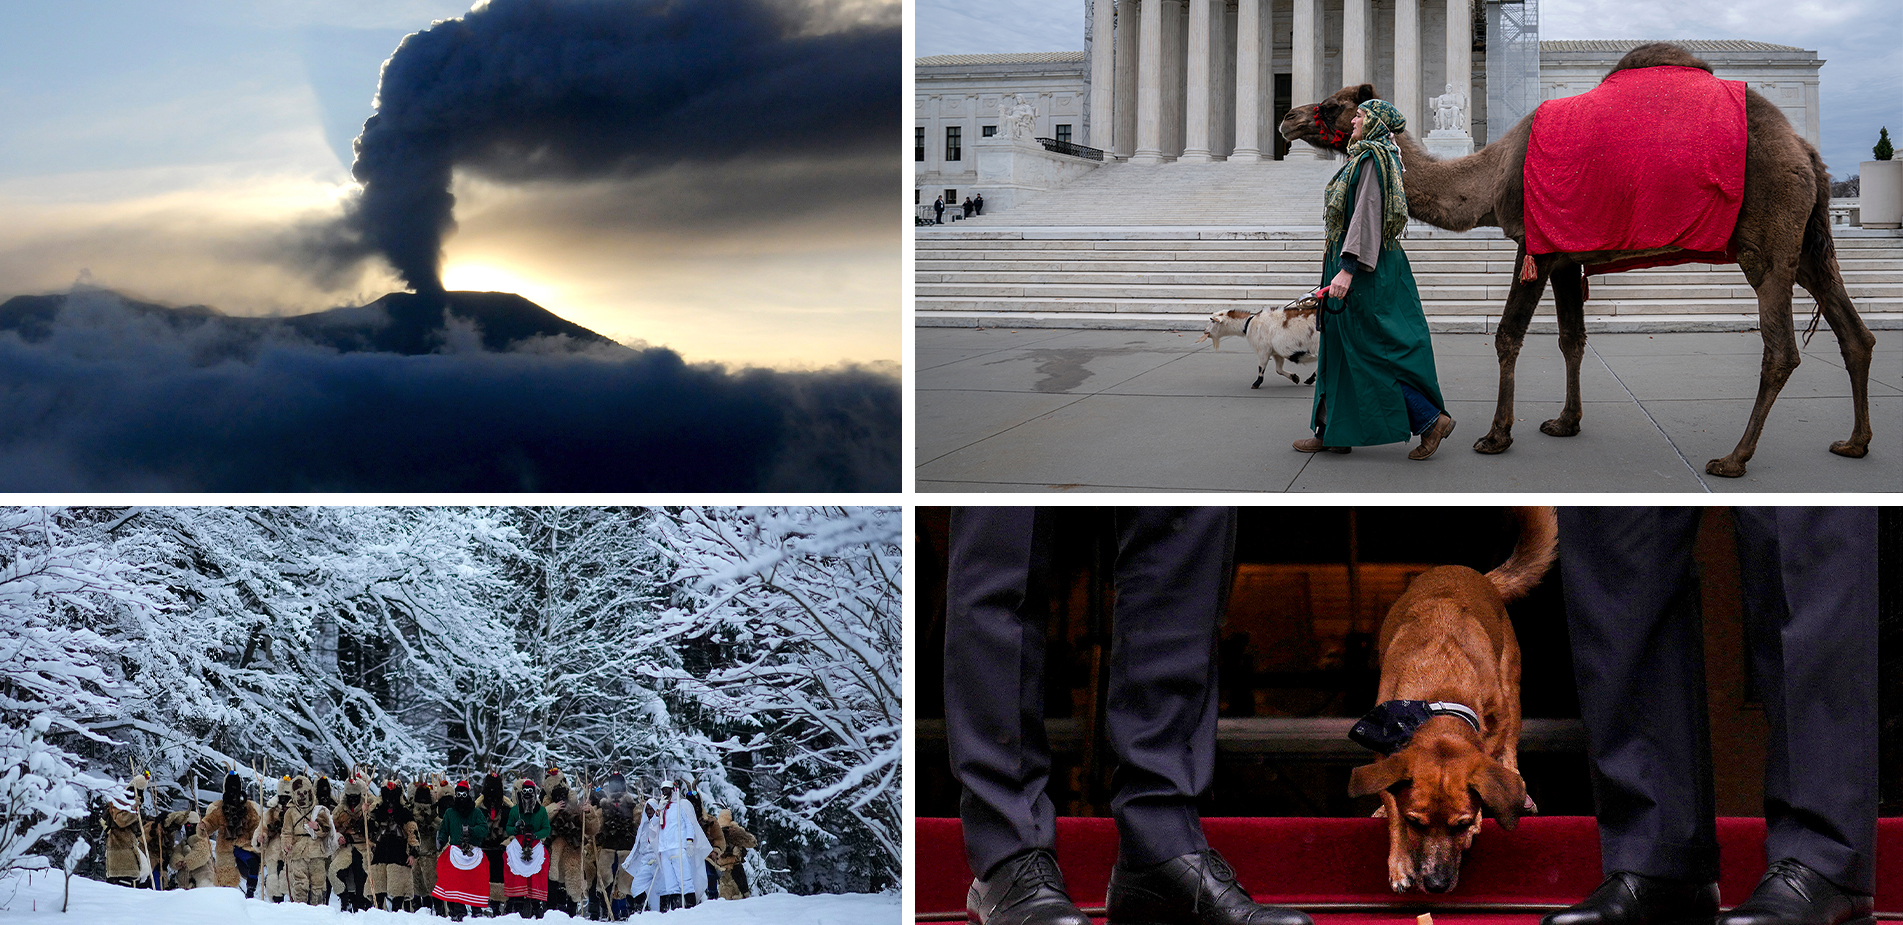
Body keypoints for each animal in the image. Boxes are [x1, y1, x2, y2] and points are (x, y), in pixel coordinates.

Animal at [1278, 43, 1872, 477]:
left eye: (1331, 105)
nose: (1286, 118)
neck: (1492, 174)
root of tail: (1804, 149)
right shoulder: (1566, 257)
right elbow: (1572, 339)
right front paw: (1565, 422)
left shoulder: (1534, 244)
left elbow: (1508, 336)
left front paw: (1495, 436)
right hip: (1809, 245)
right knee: (1854, 333)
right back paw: (1854, 442)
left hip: (1767, 243)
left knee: (1780, 349)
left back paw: (1734, 458)